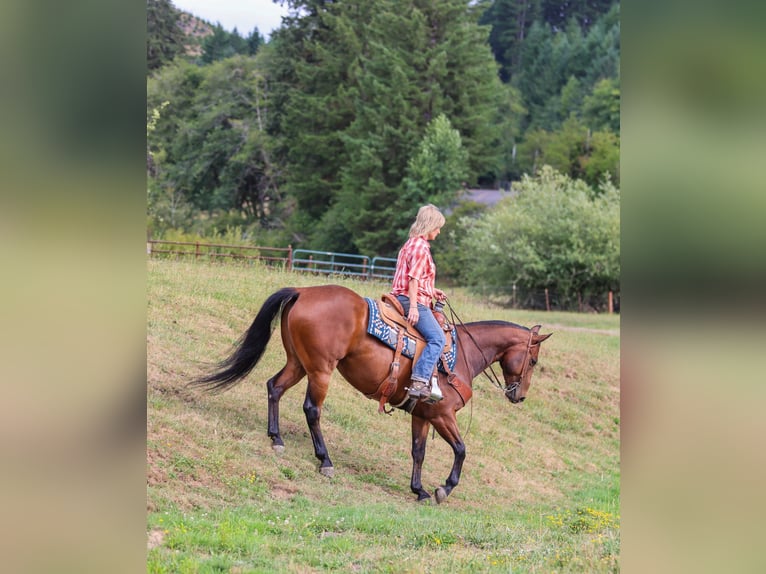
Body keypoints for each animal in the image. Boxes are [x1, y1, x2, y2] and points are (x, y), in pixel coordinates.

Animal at [191, 285, 552, 503]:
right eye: (533, 360)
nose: (519, 396)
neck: (461, 354)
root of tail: (303, 291)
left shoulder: (422, 415)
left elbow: (418, 452)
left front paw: (419, 489)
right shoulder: (441, 414)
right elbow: (462, 449)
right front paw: (443, 489)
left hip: (298, 363)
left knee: (274, 387)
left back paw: (276, 438)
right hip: (321, 370)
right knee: (312, 409)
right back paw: (325, 460)